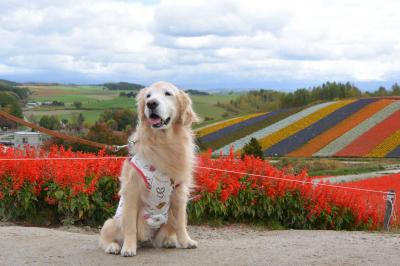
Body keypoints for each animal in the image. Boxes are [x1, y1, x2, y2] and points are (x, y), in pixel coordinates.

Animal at [100, 81, 200, 256]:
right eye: (148, 96)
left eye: (168, 93)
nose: (151, 103)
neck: (162, 142)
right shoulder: (132, 191)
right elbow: (130, 227)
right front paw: (128, 247)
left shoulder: (179, 192)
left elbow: (181, 222)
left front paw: (186, 241)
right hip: (113, 221)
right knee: (107, 236)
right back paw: (113, 246)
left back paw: (169, 241)